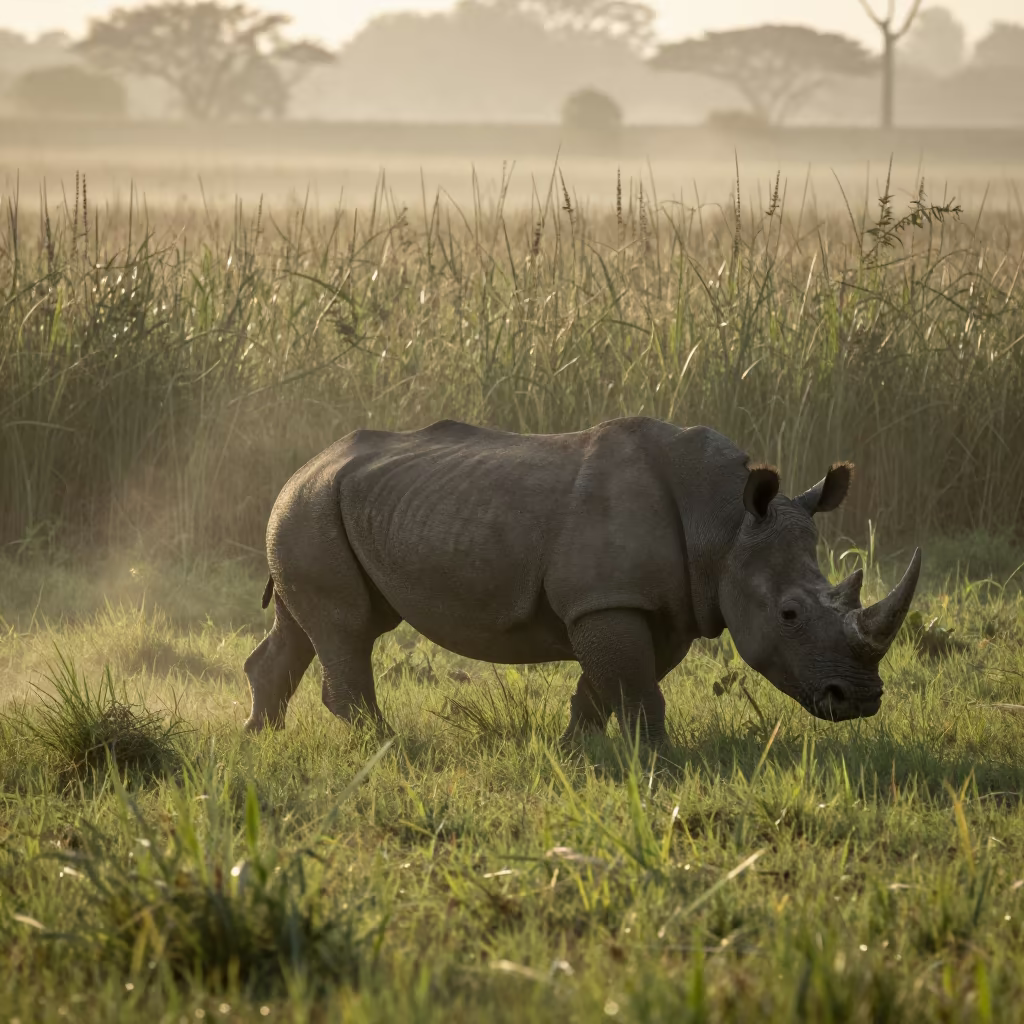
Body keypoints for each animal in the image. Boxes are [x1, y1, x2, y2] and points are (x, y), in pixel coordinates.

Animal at [244, 417, 921, 744]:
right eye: (789, 615)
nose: (860, 701)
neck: (725, 525)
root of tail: (305, 464)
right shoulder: (607, 601)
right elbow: (636, 689)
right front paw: (659, 766)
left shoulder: (653, 605)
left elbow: (607, 685)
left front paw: (576, 751)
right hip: (310, 507)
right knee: (348, 627)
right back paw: (391, 747)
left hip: (319, 506)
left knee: (309, 626)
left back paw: (261, 738)